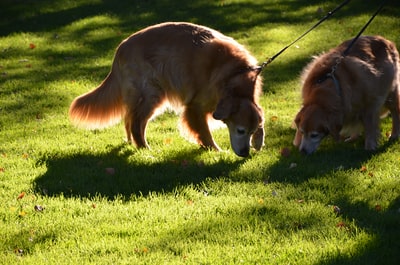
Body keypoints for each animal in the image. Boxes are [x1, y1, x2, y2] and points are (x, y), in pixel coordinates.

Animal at [70, 22, 266, 157]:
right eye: (240, 131)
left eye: (251, 131)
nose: (245, 153)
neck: (234, 77)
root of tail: (121, 48)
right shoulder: (195, 106)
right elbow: (205, 132)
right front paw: (215, 151)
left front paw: (258, 141)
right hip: (152, 93)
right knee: (136, 123)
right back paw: (145, 149)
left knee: (130, 118)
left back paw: (133, 143)